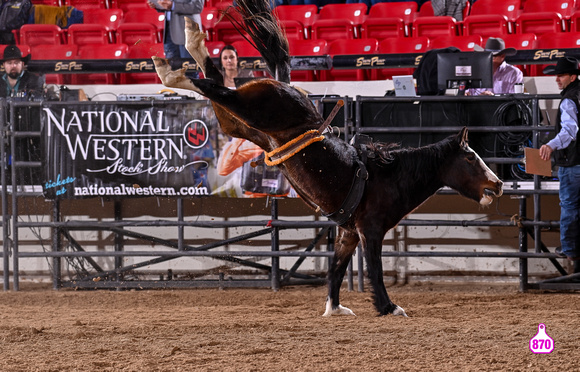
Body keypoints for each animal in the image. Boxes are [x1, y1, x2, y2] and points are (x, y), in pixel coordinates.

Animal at [154, 0, 502, 316]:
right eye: (471, 158)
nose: (497, 184)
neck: (390, 176)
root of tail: (286, 84)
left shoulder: (348, 233)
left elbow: (336, 269)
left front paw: (334, 307)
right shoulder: (370, 230)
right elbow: (374, 270)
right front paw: (389, 307)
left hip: (240, 124)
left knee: (214, 81)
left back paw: (186, 49)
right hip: (250, 111)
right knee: (215, 87)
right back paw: (174, 65)